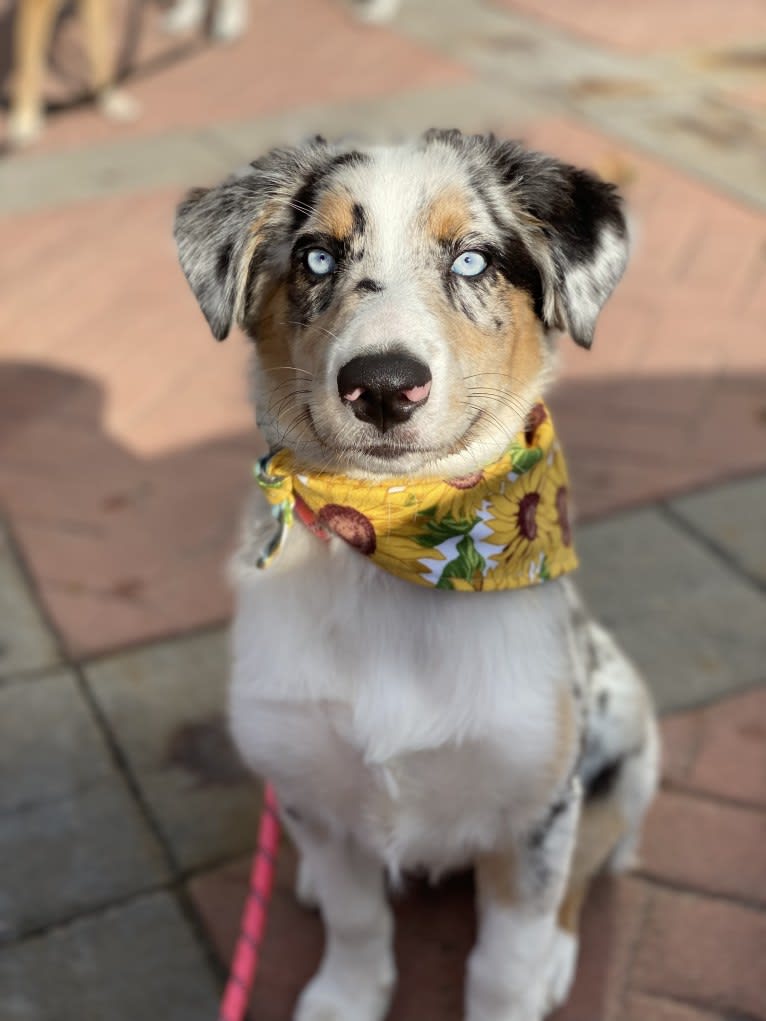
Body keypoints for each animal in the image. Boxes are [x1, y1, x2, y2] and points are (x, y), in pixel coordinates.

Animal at [173, 131, 661, 1021]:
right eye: (317, 256)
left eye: (472, 260)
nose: (382, 385)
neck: (399, 541)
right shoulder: (313, 789)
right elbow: (358, 917)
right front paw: (344, 997)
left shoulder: (536, 807)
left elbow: (504, 959)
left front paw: (522, 981)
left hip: (626, 752)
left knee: (592, 860)